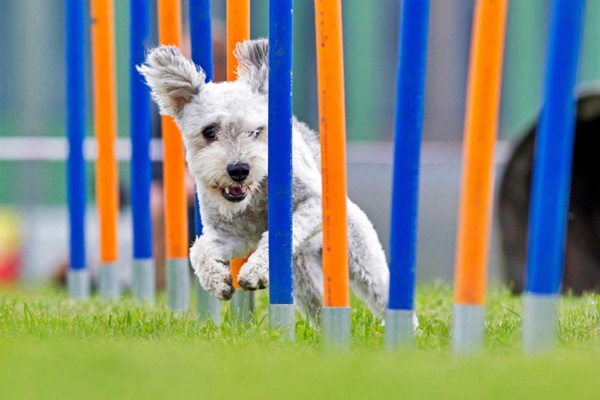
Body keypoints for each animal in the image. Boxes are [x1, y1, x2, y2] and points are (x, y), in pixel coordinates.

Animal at [137, 39, 390, 320]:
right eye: (209, 131)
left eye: (256, 131)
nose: (239, 169)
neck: (254, 195)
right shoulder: (231, 234)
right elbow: (198, 250)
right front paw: (217, 281)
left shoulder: (313, 203)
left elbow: (279, 235)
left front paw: (254, 272)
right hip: (304, 279)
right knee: (317, 307)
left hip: (360, 254)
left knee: (379, 290)